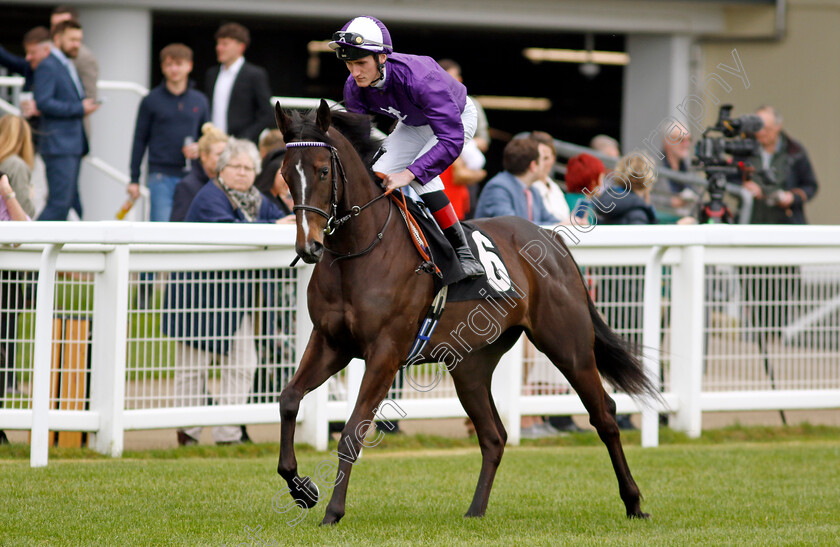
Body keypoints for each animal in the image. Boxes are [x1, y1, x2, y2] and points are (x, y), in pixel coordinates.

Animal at [272, 99, 660, 528]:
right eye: (286, 174)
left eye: (323, 171)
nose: (309, 247)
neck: (358, 251)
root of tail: (550, 238)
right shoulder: (331, 342)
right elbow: (289, 400)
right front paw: (302, 488)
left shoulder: (385, 352)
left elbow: (353, 431)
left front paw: (333, 511)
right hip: (470, 364)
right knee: (494, 435)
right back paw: (475, 510)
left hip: (568, 346)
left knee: (604, 415)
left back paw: (634, 502)